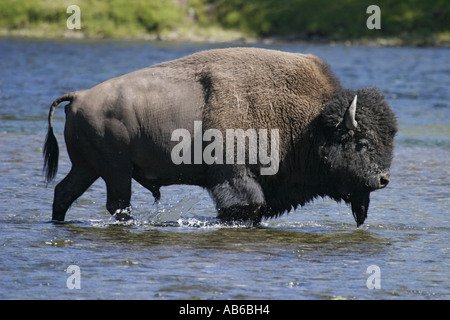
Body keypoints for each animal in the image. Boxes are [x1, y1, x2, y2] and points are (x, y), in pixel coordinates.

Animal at [43, 48, 398, 228]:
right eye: (361, 142)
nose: (383, 179)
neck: (308, 124)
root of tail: (79, 96)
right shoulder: (235, 177)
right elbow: (245, 206)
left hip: (89, 168)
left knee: (64, 192)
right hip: (115, 171)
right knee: (116, 204)